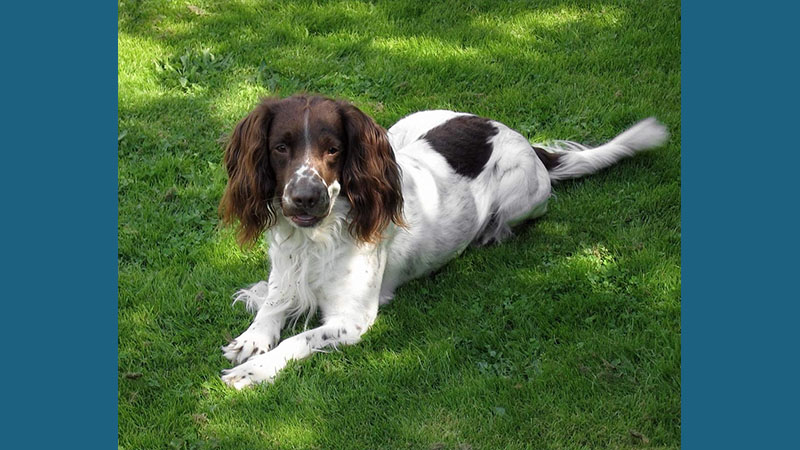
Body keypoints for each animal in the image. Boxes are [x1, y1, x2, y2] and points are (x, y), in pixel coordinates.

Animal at [216, 94, 664, 386]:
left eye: (333, 149)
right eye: (280, 147)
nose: (305, 197)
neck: (316, 238)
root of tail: (518, 137)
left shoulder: (352, 319)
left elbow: (300, 338)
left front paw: (254, 370)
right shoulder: (285, 269)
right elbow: (272, 307)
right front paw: (252, 336)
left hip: (523, 198)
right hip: (401, 128)